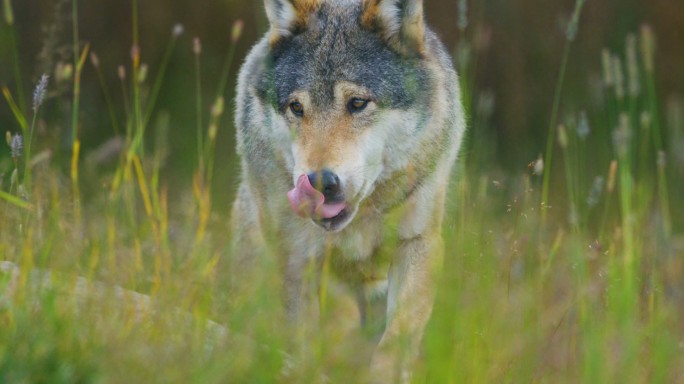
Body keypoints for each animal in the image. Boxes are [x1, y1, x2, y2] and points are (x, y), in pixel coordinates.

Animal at [232, 0, 468, 380]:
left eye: (357, 103)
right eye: (296, 107)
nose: (318, 183)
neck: (363, 215)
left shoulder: (418, 243)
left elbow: (395, 340)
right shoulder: (295, 258)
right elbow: (304, 344)